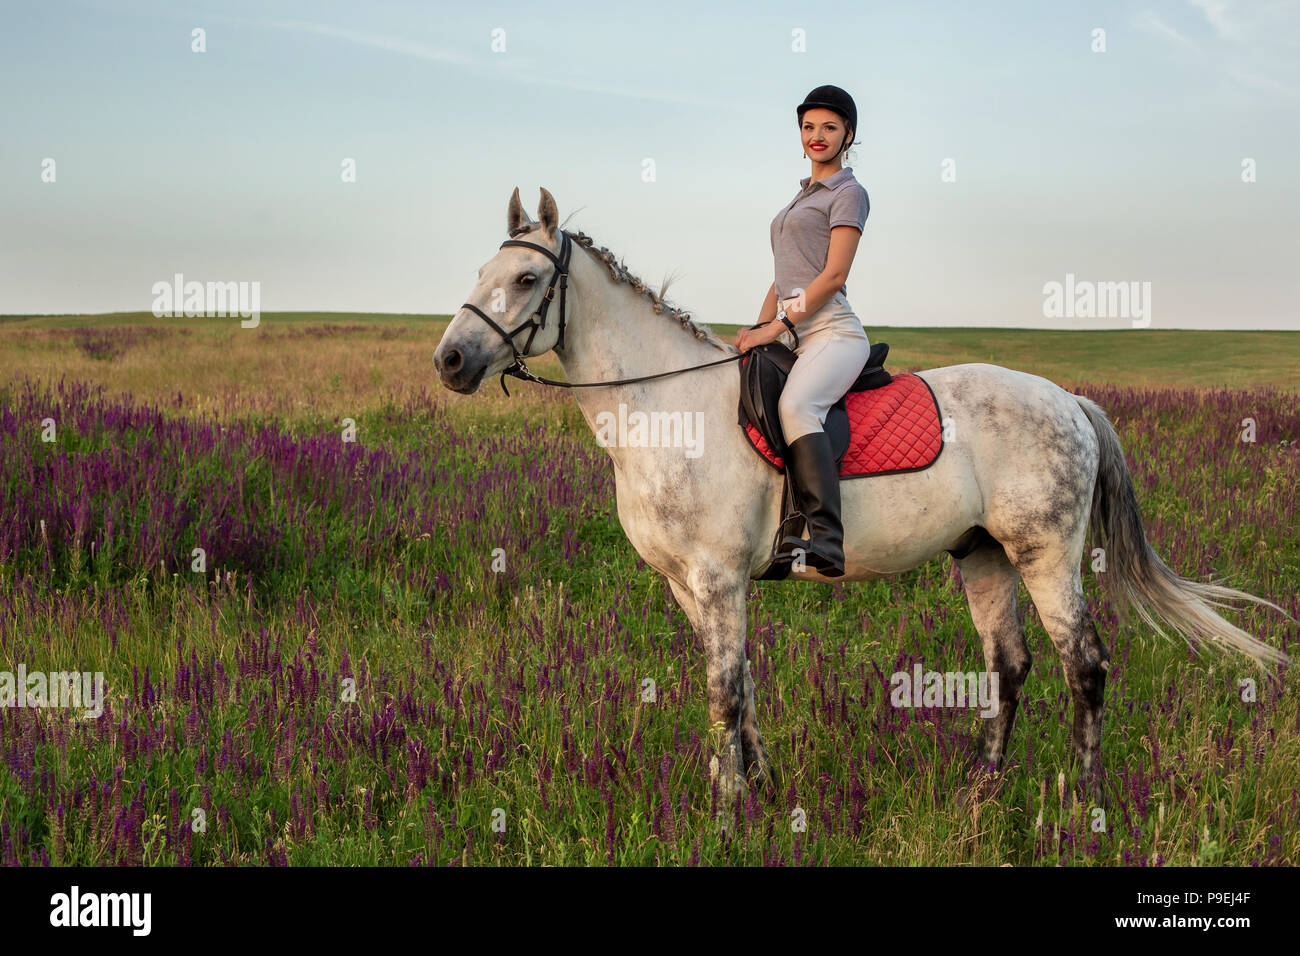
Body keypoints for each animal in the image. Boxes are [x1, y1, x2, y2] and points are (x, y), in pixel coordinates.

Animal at [436, 184, 1289, 801]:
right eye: (479, 275)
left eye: (526, 279)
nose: (450, 361)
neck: (666, 410)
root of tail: (1068, 400)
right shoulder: (691, 586)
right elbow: (740, 684)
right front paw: (757, 787)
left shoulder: (717, 580)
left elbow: (724, 694)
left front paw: (726, 812)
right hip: (983, 556)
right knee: (1009, 663)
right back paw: (981, 789)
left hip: (1046, 554)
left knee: (1086, 665)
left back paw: (1084, 802)